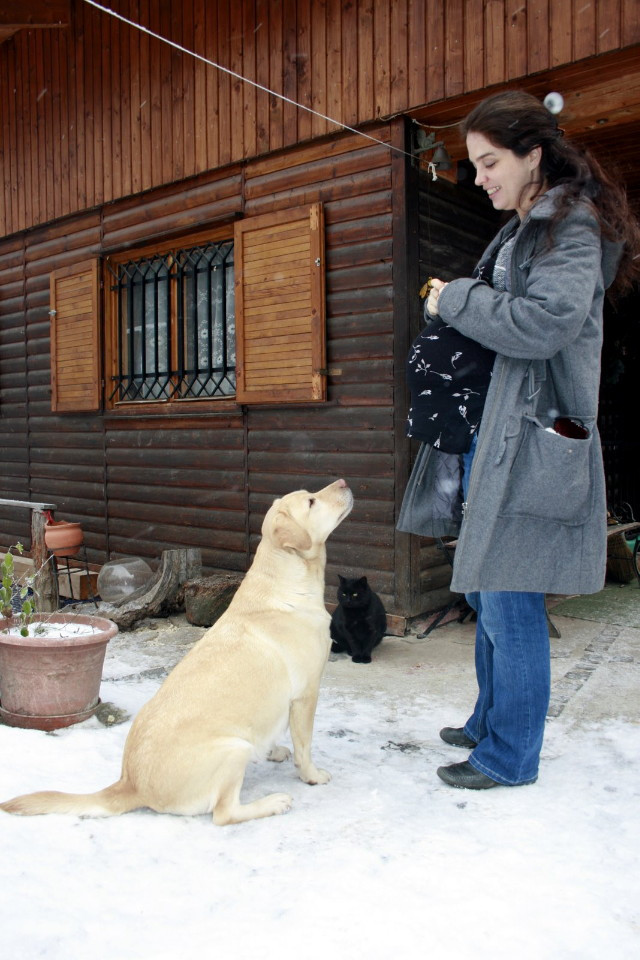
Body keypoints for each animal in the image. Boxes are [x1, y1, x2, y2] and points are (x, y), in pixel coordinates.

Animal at [0, 480, 352, 824]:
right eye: (310, 502)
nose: (344, 482)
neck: (285, 580)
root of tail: (131, 784)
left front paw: (273, 751)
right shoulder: (306, 694)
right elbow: (304, 746)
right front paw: (312, 775)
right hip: (233, 749)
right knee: (224, 814)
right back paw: (274, 802)